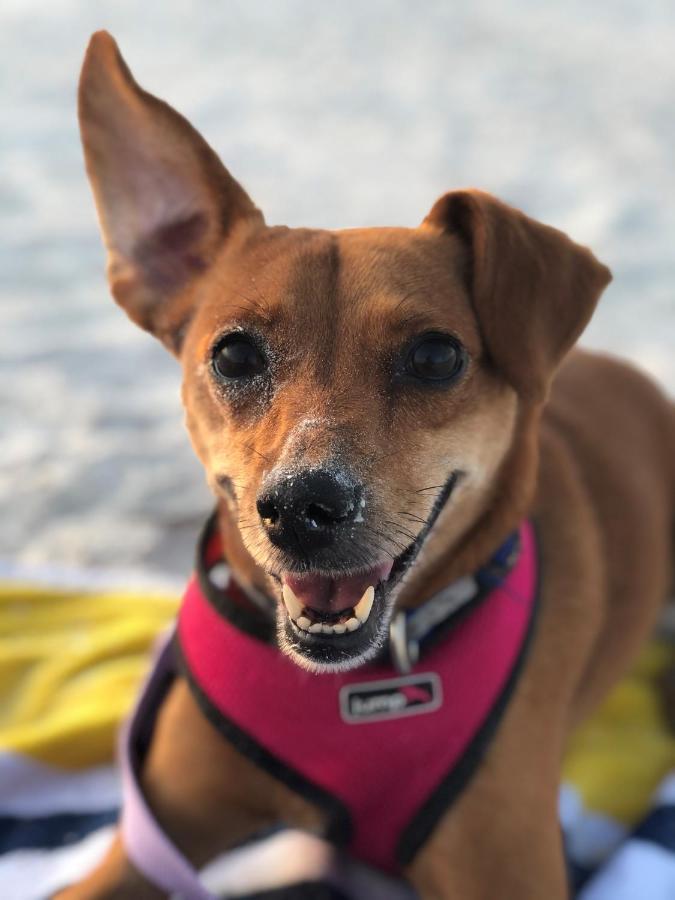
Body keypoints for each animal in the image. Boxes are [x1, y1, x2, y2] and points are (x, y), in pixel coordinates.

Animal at [59, 29, 675, 900]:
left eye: (435, 356)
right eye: (233, 353)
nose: (300, 508)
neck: (355, 688)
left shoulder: (508, 862)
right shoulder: (152, 833)